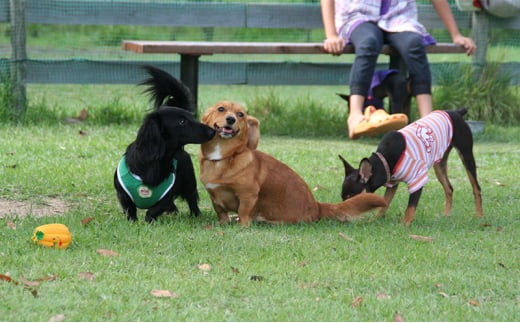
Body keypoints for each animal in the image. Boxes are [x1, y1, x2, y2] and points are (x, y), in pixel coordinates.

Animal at [340, 109, 482, 228]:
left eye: (351, 197)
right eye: (342, 197)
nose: (343, 215)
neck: (385, 160)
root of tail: (456, 112)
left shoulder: (417, 180)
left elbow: (411, 207)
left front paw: (404, 225)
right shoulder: (392, 183)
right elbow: (384, 203)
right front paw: (374, 220)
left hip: (466, 155)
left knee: (476, 187)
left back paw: (479, 215)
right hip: (439, 164)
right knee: (449, 188)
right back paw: (446, 215)